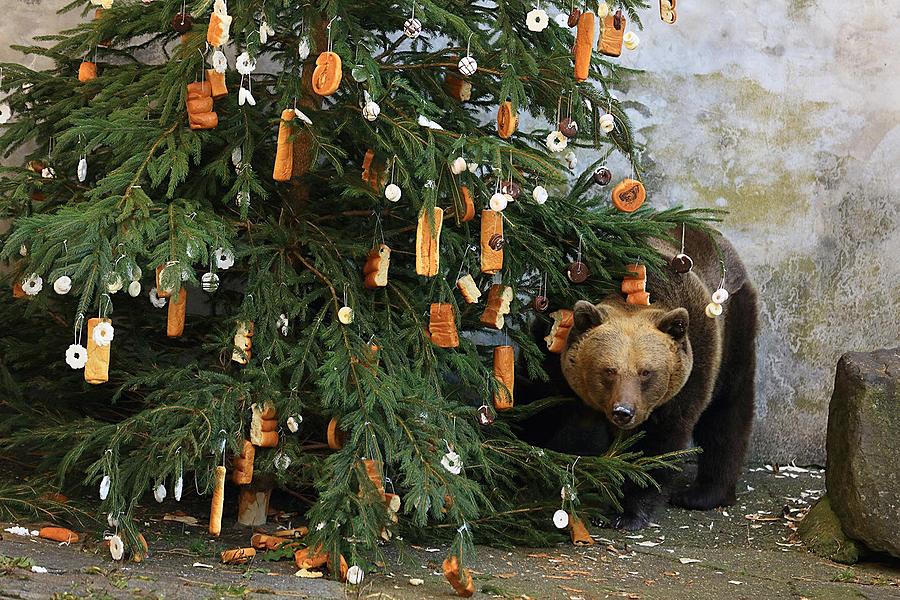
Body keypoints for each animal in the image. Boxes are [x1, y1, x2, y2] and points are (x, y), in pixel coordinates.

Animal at [520, 226, 760, 528]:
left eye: (646, 372)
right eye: (609, 370)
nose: (624, 411)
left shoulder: (685, 378)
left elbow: (658, 443)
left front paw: (626, 512)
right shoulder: (551, 354)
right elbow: (538, 407)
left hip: (733, 328)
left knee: (727, 412)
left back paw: (701, 494)